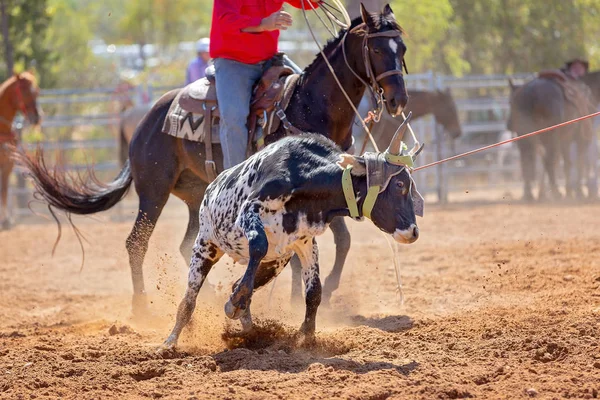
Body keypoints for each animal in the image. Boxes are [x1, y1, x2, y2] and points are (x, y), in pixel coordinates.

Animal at [0, 71, 41, 228]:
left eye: (36, 92)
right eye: (25, 92)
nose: (37, 118)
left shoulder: (8, 165)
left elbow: (4, 190)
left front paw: (6, 220)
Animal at [19, 3, 412, 316]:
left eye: (402, 48)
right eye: (376, 48)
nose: (398, 100)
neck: (307, 106)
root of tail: (148, 116)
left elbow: (340, 242)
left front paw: (320, 293)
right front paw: (295, 300)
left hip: (195, 197)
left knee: (187, 244)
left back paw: (204, 296)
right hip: (153, 190)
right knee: (136, 243)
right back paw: (141, 307)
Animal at [159, 113, 422, 350]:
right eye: (400, 185)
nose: (413, 232)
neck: (303, 175)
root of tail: (210, 188)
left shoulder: (304, 243)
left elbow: (314, 291)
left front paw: (307, 337)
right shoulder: (249, 211)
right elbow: (258, 246)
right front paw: (235, 303)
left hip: (276, 262)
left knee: (238, 282)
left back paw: (250, 333)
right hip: (205, 246)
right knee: (189, 299)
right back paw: (170, 342)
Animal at [506, 71, 600, 200]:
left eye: (510, 102)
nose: (509, 125)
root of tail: (532, 92)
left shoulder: (564, 139)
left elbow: (567, 163)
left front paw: (569, 192)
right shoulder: (581, 139)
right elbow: (578, 163)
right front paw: (578, 192)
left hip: (526, 136)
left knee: (527, 161)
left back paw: (529, 194)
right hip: (550, 136)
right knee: (549, 161)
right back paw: (556, 192)